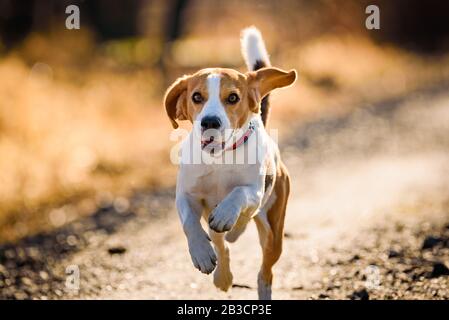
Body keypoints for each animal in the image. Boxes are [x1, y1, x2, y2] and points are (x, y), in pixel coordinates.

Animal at [163, 27, 296, 300]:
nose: (210, 122)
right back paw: (222, 275)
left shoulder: (254, 192)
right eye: (196, 97)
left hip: (274, 232)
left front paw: (227, 212)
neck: (220, 157)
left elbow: (238, 193)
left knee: (265, 270)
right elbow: (190, 223)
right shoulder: (186, 195)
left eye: (233, 97)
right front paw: (201, 253)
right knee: (222, 244)